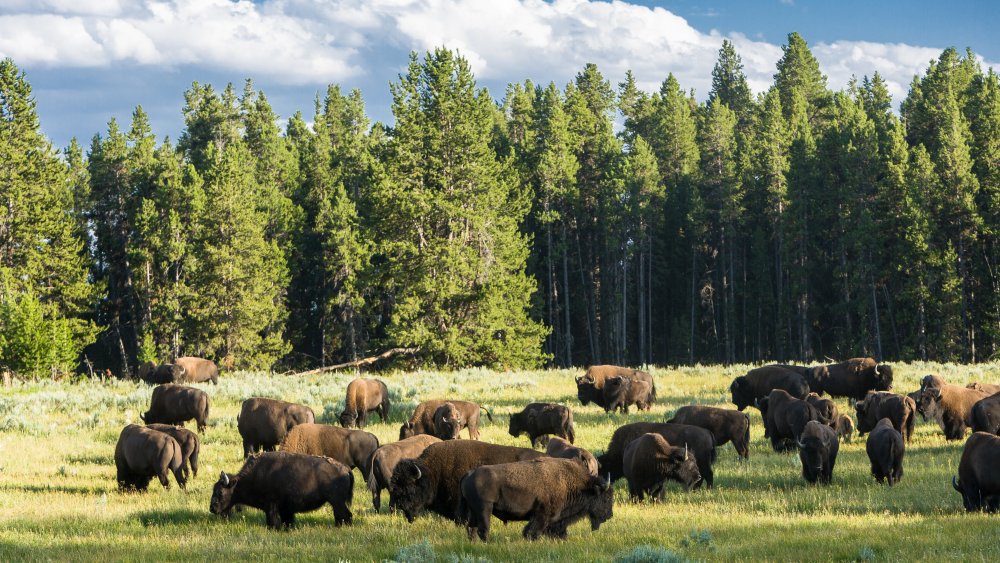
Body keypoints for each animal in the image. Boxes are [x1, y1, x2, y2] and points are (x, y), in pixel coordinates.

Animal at [210, 452, 353, 528]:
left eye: (220, 492)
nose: (212, 508)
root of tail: (346, 469)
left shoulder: (271, 506)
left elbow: (272, 519)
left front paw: (273, 528)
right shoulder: (286, 509)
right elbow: (287, 519)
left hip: (337, 502)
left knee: (344, 515)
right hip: (337, 502)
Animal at [459, 458, 613, 541]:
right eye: (606, 498)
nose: (610, 515)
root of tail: (469, 473)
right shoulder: (542, 515)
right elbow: (532, 532)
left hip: (474, 511)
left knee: (472, 529)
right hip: (485, 509)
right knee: (483, 530)